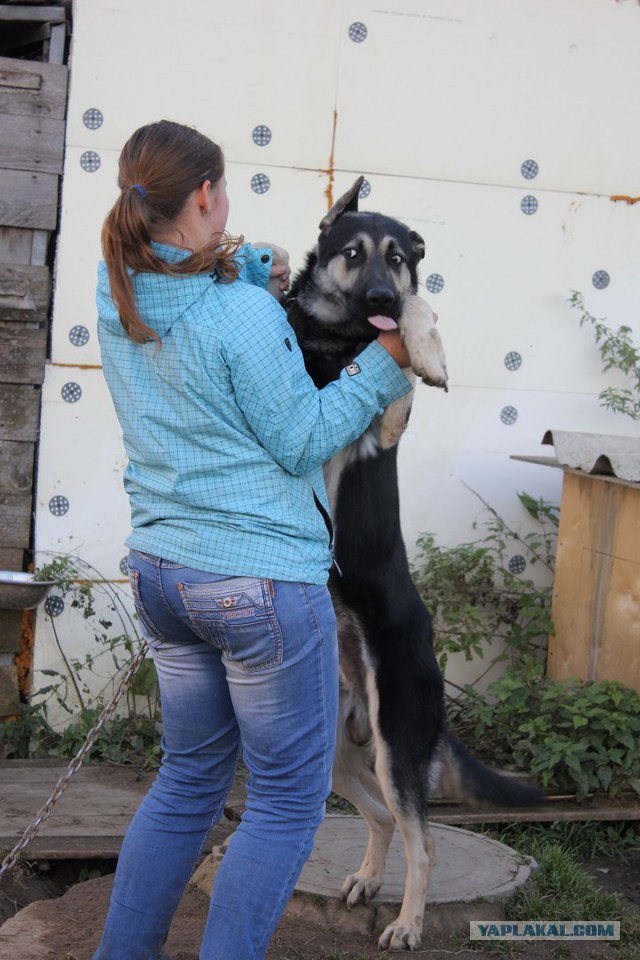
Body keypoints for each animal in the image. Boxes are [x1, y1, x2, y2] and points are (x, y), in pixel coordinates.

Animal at [284, 180, 540, 952]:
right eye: (354, 253)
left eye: (398, 259)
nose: (380, 297)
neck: (340, 339)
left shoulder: (379, 407)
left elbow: (412, 338)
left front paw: (426, 354)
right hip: (339, 753)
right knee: (385, 818)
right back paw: (371, 882)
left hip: (394, 743)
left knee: (420, 840)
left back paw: (406, 924)